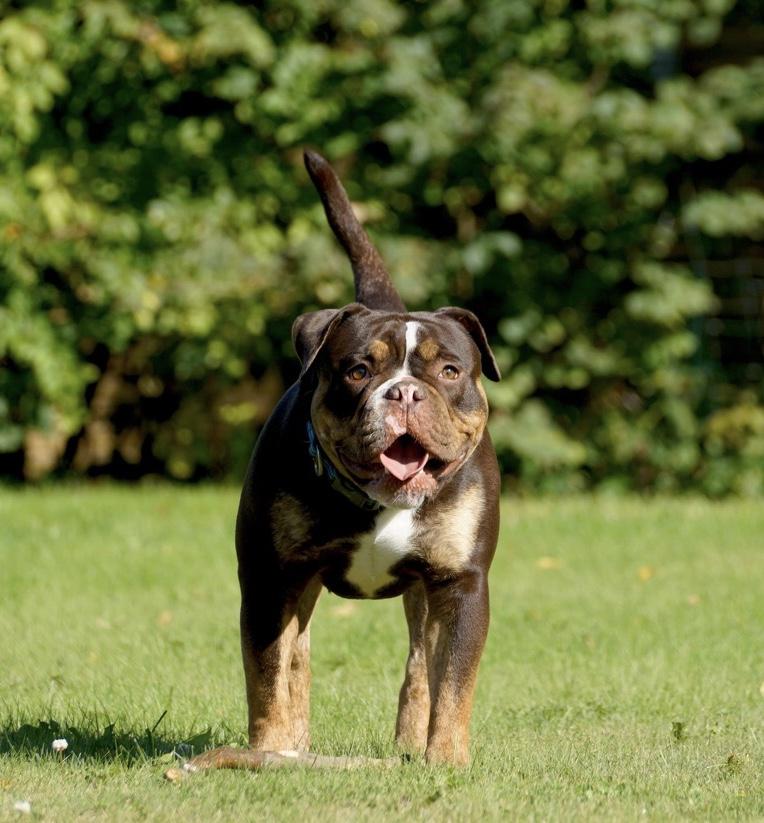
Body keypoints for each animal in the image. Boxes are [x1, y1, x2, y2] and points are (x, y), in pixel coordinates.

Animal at [179, 151, 502, 776]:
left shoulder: (460, 584)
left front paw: (445, 760)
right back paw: (295, 745)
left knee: (419, 666)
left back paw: (409, 745)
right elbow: (269, 678)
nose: (404, 392)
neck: (377, 501)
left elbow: (453, 683)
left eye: (450, 370)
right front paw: (267, 750)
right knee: (298, 662)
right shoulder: (270, 579)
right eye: (358, 370)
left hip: (425, 594)